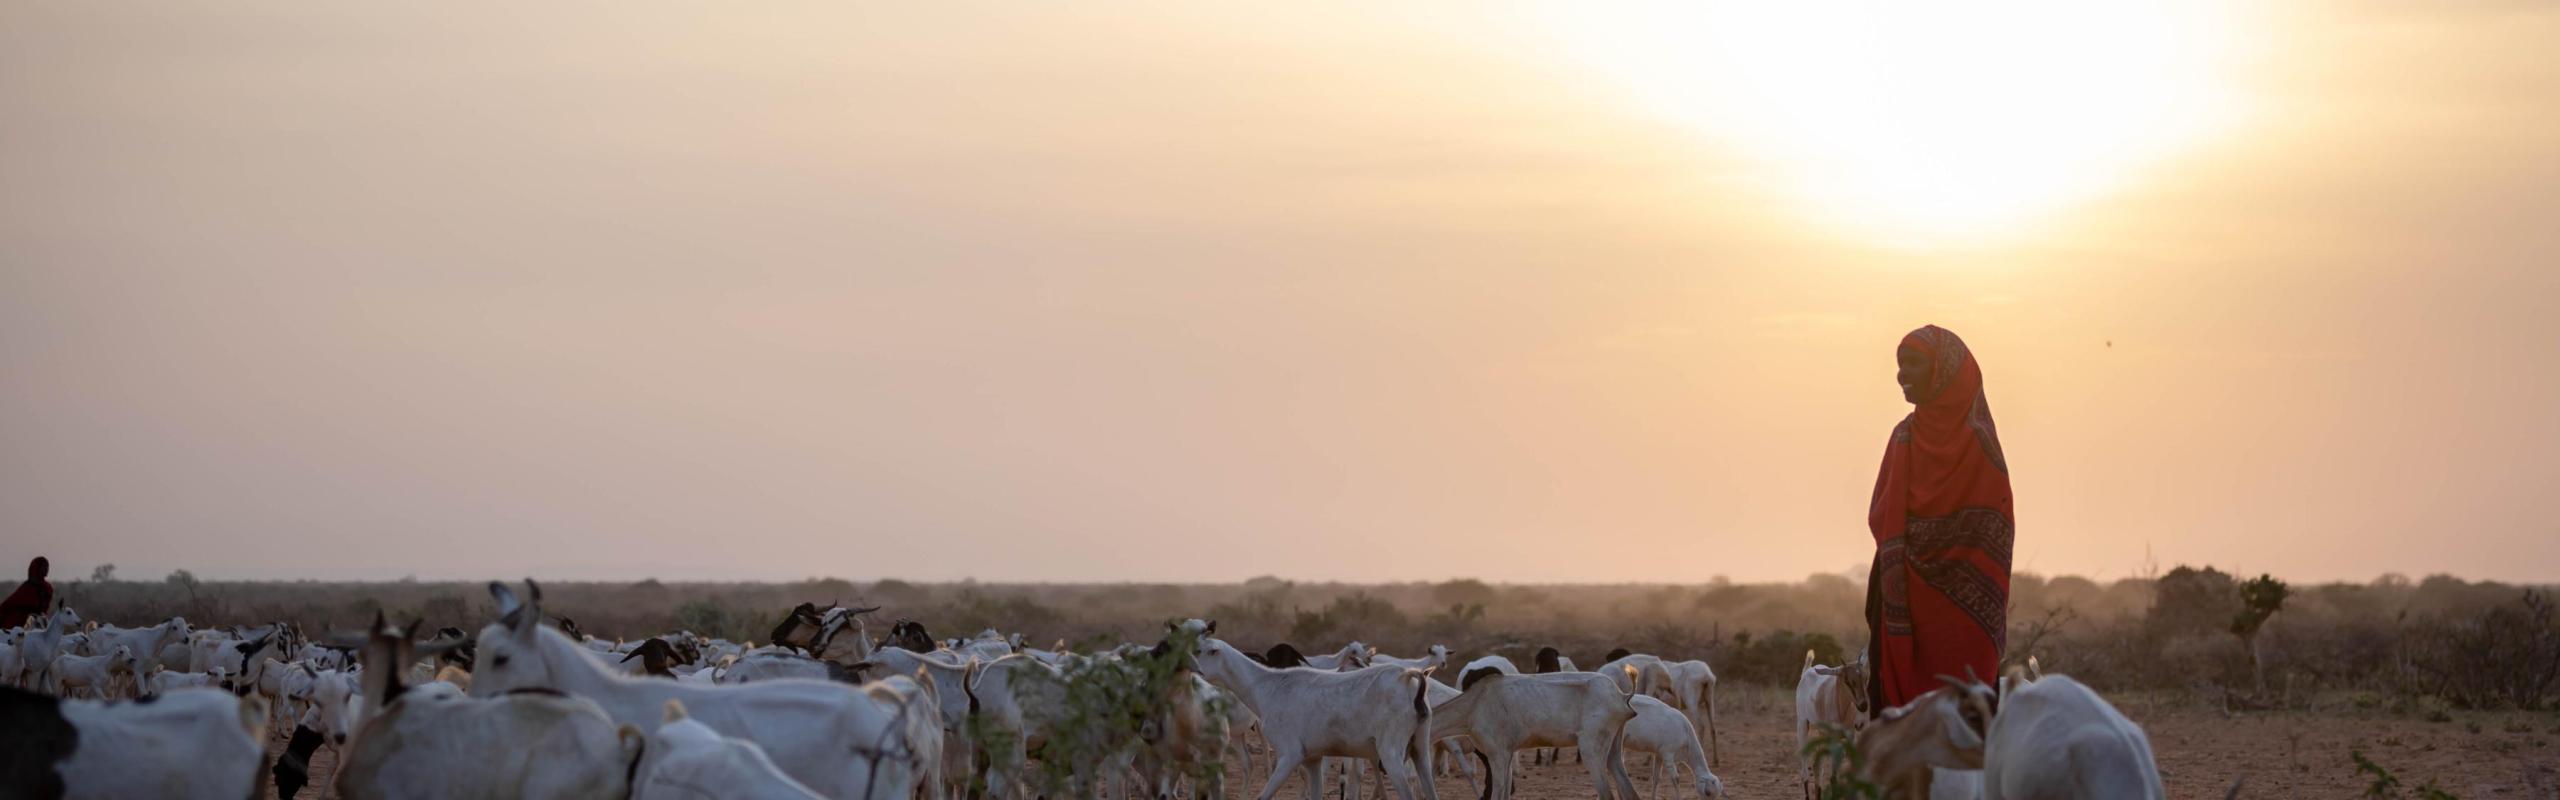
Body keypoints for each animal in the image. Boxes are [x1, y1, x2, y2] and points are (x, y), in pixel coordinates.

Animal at [1430, 666, 1639, 800]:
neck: (1474, 704)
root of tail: (1621, 697)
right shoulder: (1507, 754)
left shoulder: (1497, 754)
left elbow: (1497, 795)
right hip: (1613, 748)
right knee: (1630, 791)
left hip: (1591, 749)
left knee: (1607, 795)